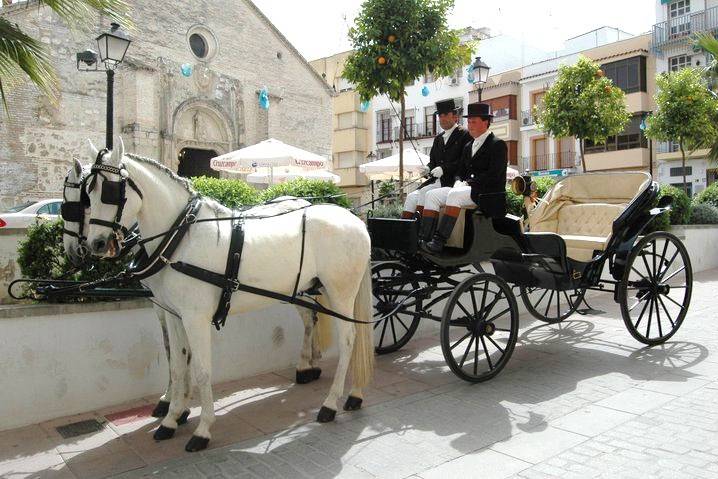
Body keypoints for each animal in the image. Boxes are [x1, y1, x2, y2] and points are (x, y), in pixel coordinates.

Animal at [83, 144, 374, 452]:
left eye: (110, 190)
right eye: (88, 190)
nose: (96, 244)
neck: (182, 236)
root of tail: (353, 219)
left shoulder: (195, 318)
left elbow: (201, 370)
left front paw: (202, 429)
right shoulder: (174, 315)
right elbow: (177, 364)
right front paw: (172, 419)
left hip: (341, 292)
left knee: (349, 340)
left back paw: (331, 403)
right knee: (337, 332)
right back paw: (353, 393)